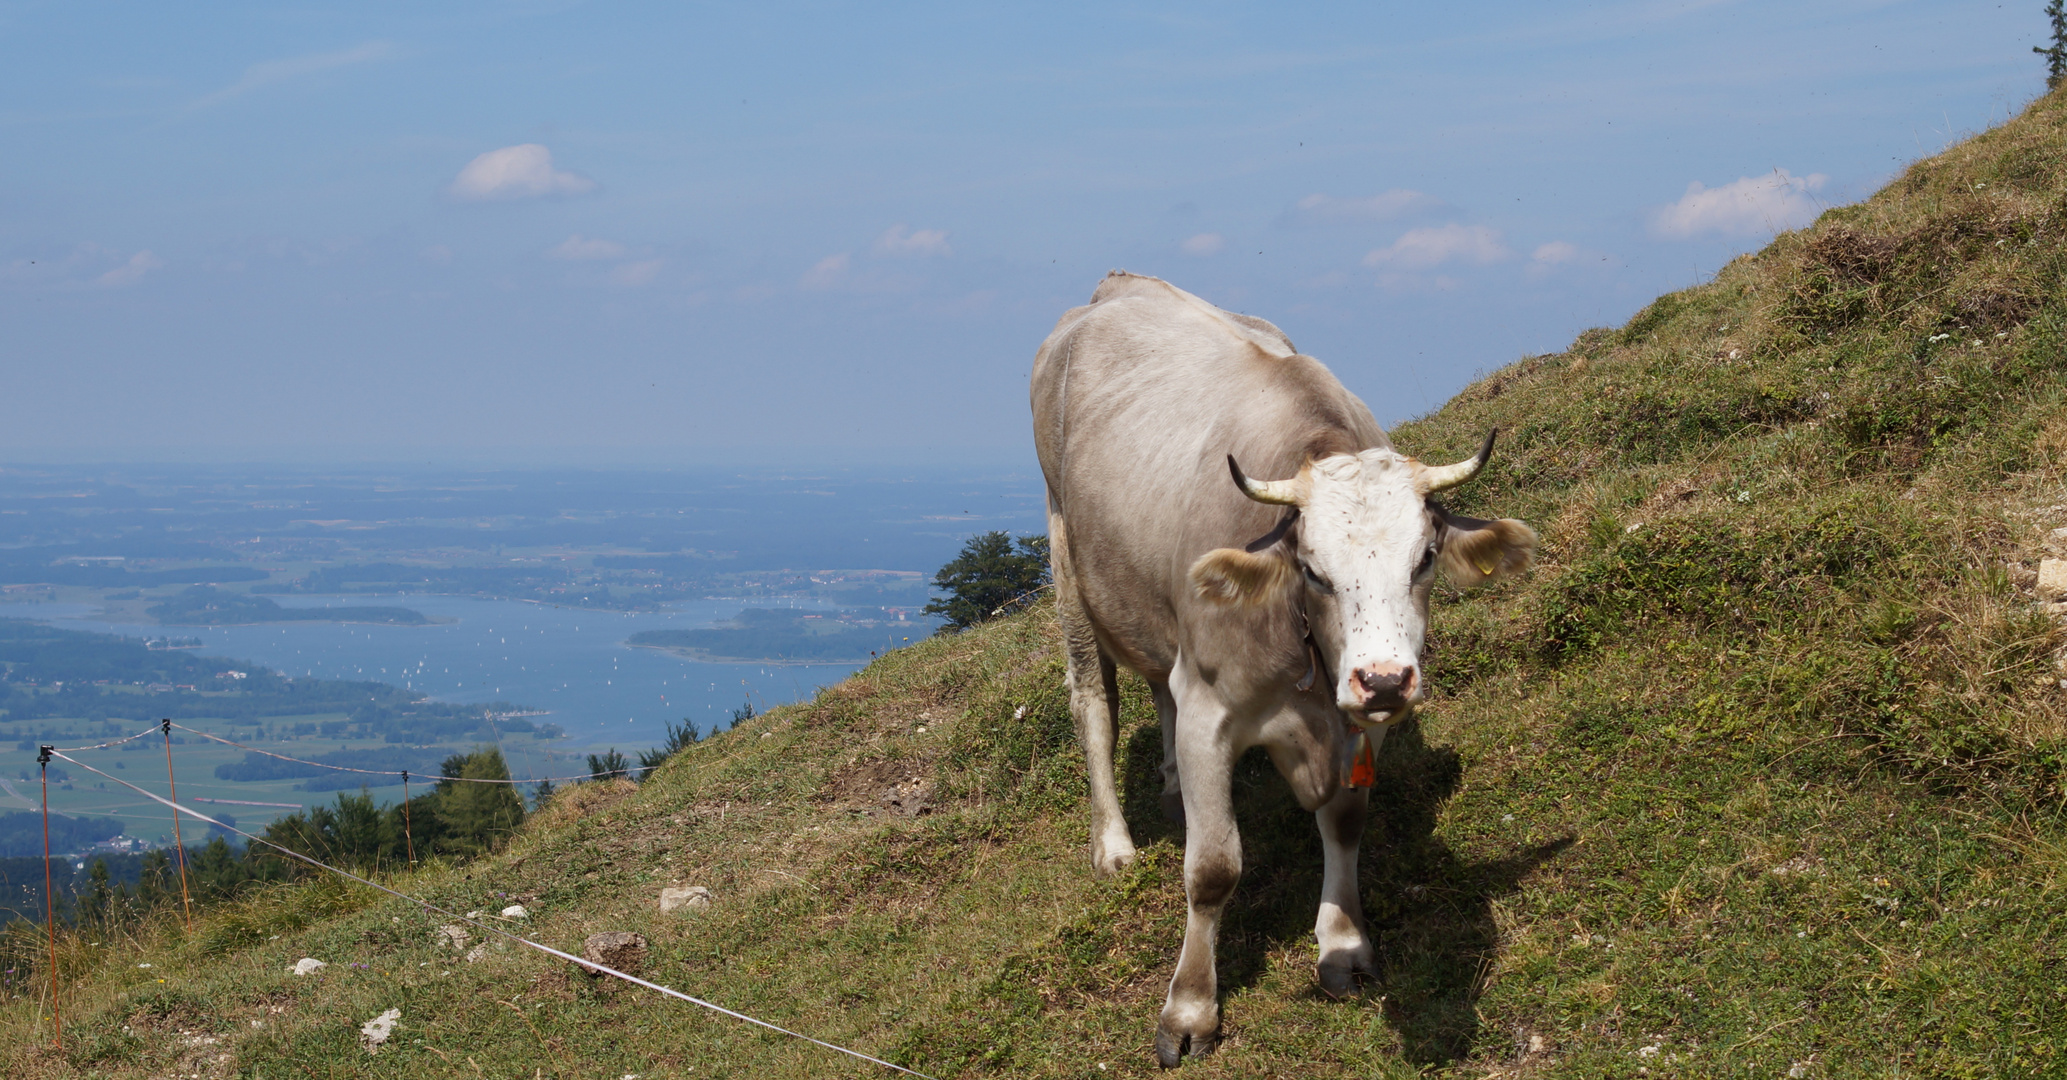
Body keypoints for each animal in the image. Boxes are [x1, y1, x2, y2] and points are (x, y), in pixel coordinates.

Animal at [1033, 271, 1537, 1067]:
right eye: (1312, 570)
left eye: (1425, 558)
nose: (1384, 679)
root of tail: (1117, 286)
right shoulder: (1211, 709)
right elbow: (1213, 869)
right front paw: (1189, 1011)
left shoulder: (1362, 718)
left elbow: (1347, 818)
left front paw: (1343, 944)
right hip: (1066, 559)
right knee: (1094, 703)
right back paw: (1113, 845)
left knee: (1157, 682)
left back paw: (1171, 791)